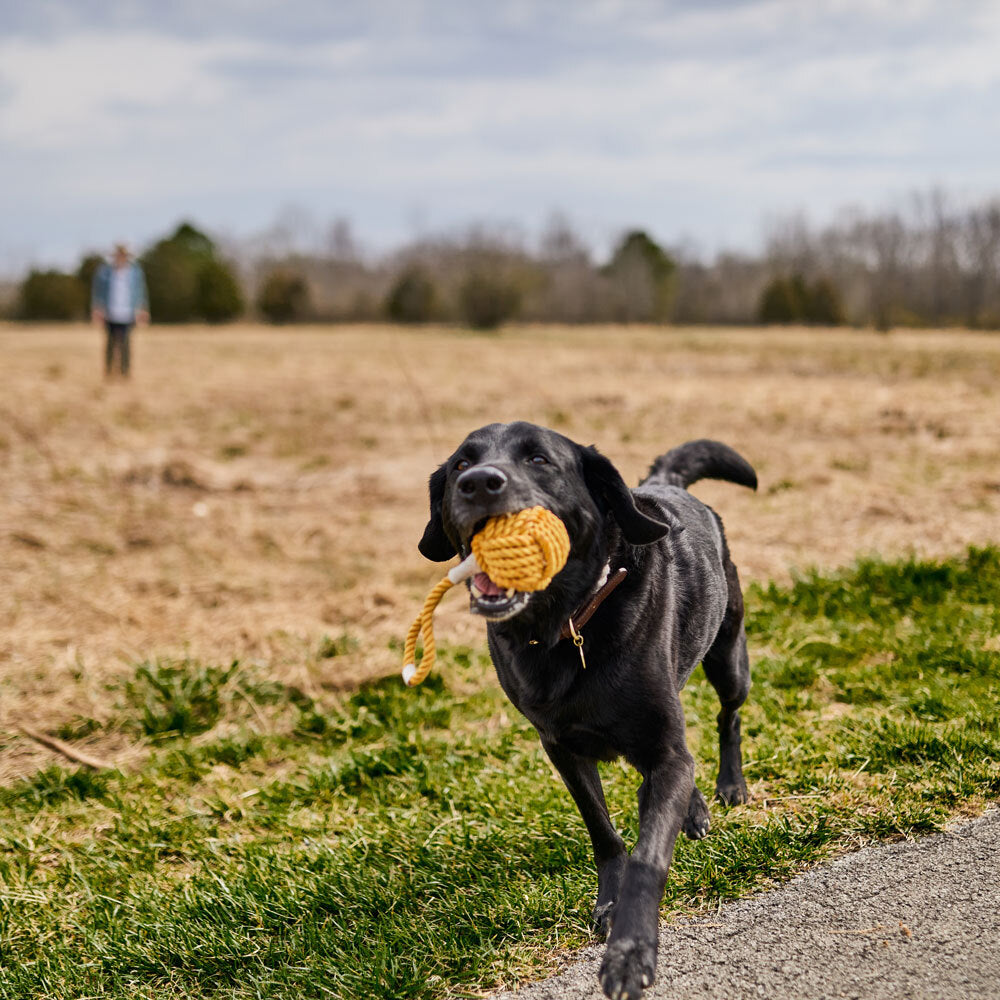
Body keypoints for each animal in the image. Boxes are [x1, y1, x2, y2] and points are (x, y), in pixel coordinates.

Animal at [416, 422, 756, 1000]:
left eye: (538, 459)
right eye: (461, 464)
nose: (479, 483)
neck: (567, 625)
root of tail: (667, 485)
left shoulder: (664, 751)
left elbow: (648, 855)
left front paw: (630, 951)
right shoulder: (562, 748)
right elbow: (603, 830)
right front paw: (610, 902)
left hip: (729, 659)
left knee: (725, 718)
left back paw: (729, 787)